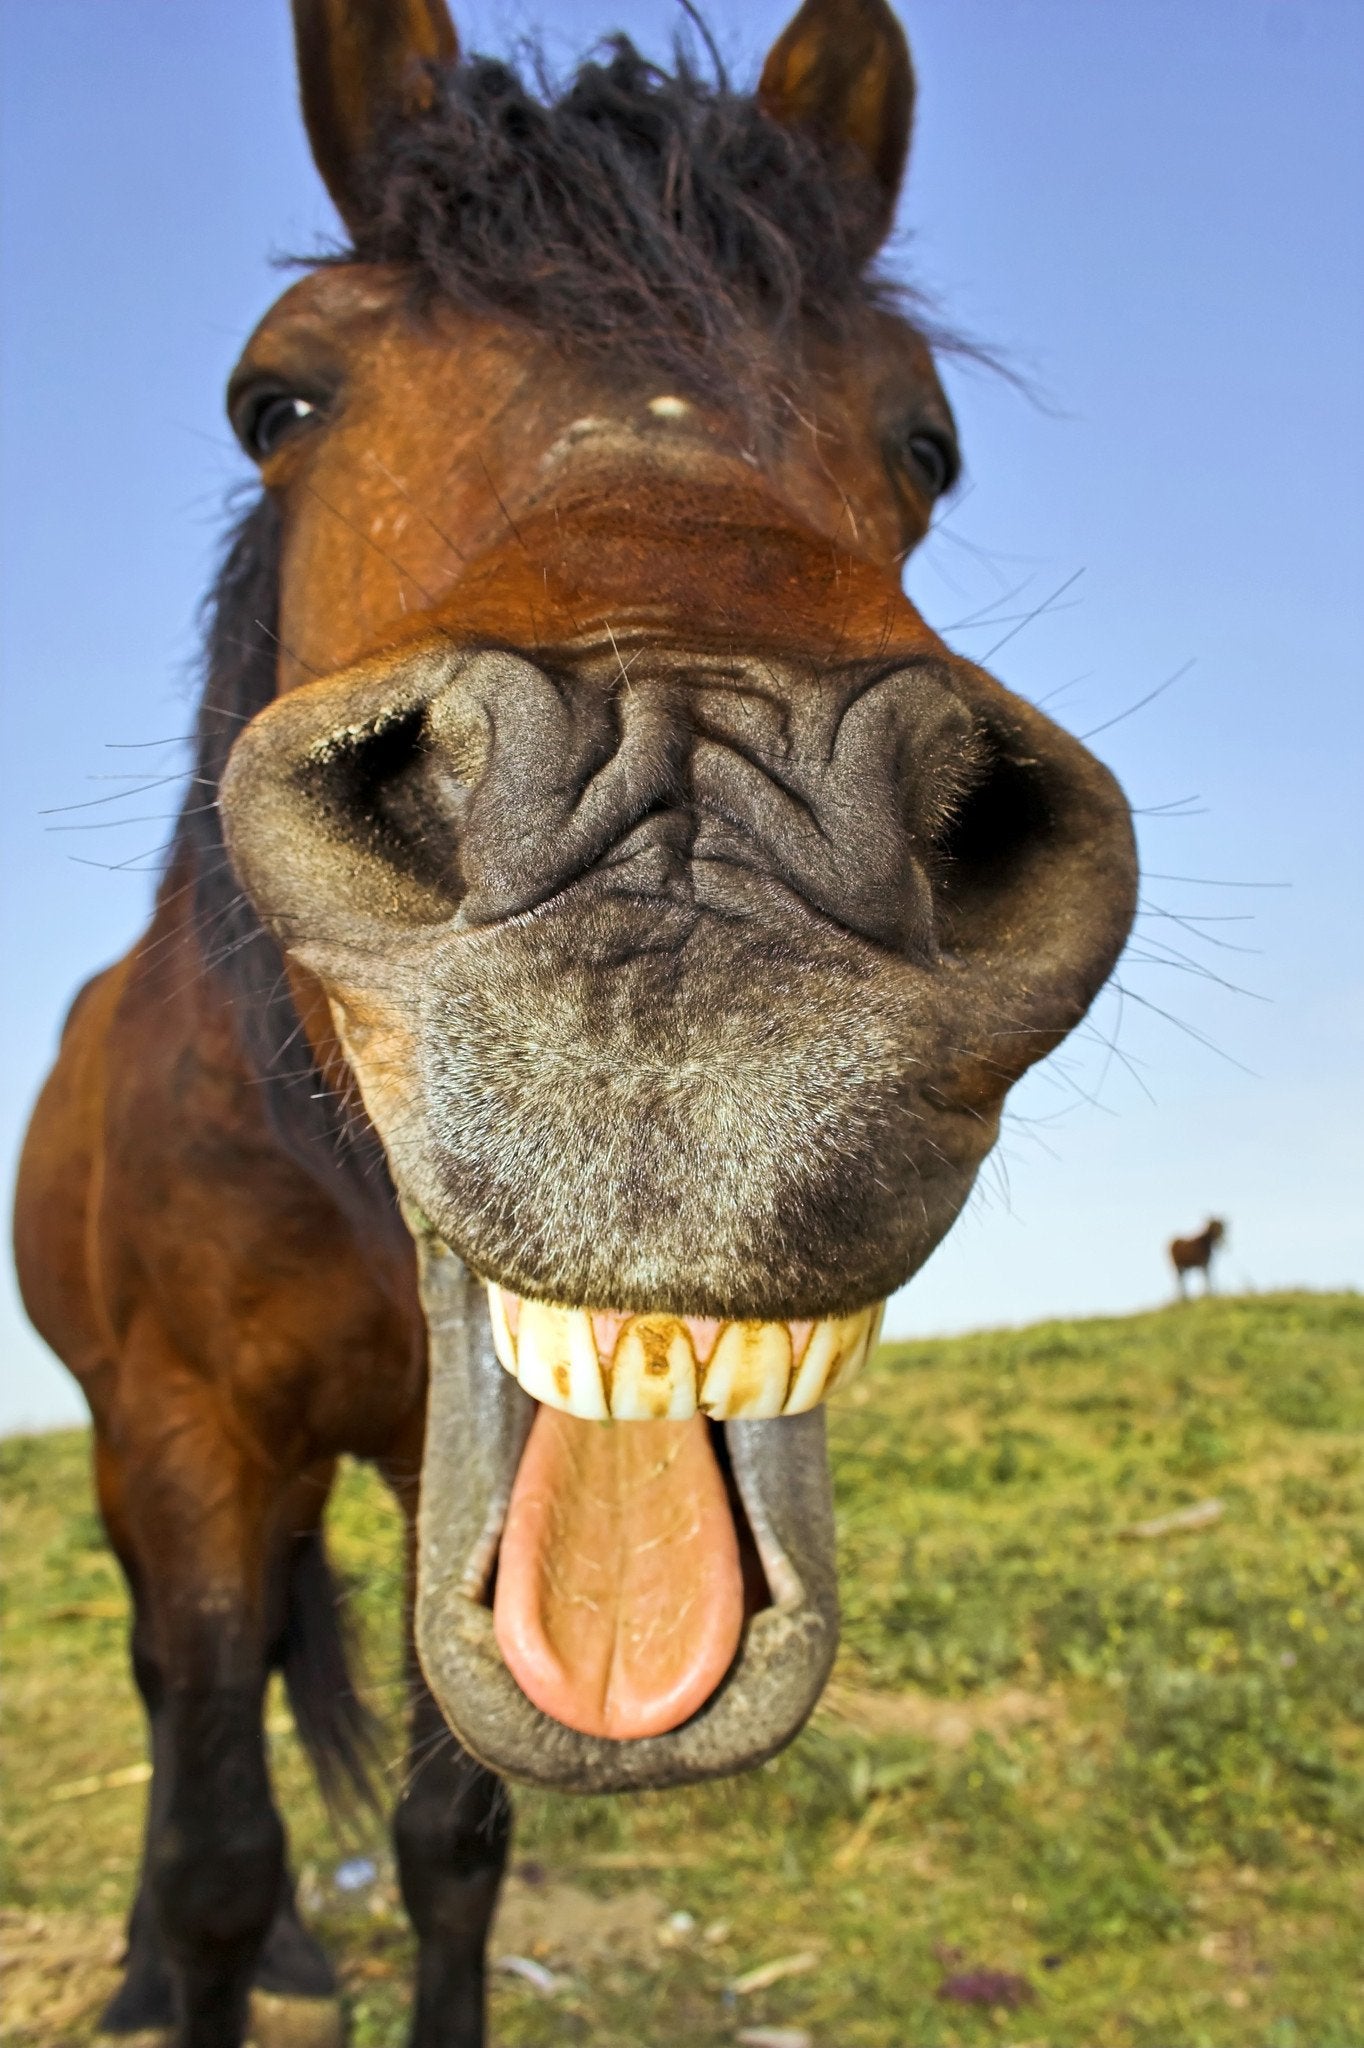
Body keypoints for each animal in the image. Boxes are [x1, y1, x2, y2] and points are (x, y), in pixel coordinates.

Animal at [13, 2, 1138, 2042]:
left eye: (926, 440)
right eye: (273, 401)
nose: (695, 880)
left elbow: (454, 1843)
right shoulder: (188, 1433)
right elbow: (217, 1852)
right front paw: (186, 1958)